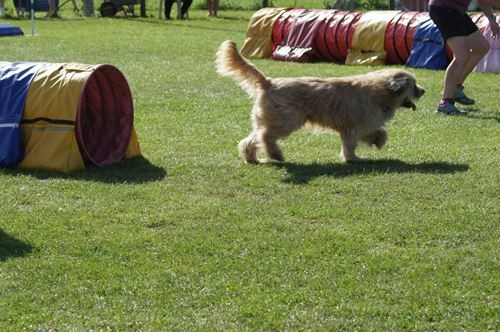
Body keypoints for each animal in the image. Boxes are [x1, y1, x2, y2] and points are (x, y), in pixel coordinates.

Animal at [216, 40, 426, 163]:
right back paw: (276, 155)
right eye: (414, 84)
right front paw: (354, 159)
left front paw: (378, 141)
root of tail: (269, 83)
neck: (380, 91)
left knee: (252, 139)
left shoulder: (362, 124)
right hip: (288, 120)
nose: (423, 90)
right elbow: (350, 145)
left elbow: (378, 132)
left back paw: (251, 157)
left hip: (270, 119)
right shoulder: (352, 127)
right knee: (266, 136)